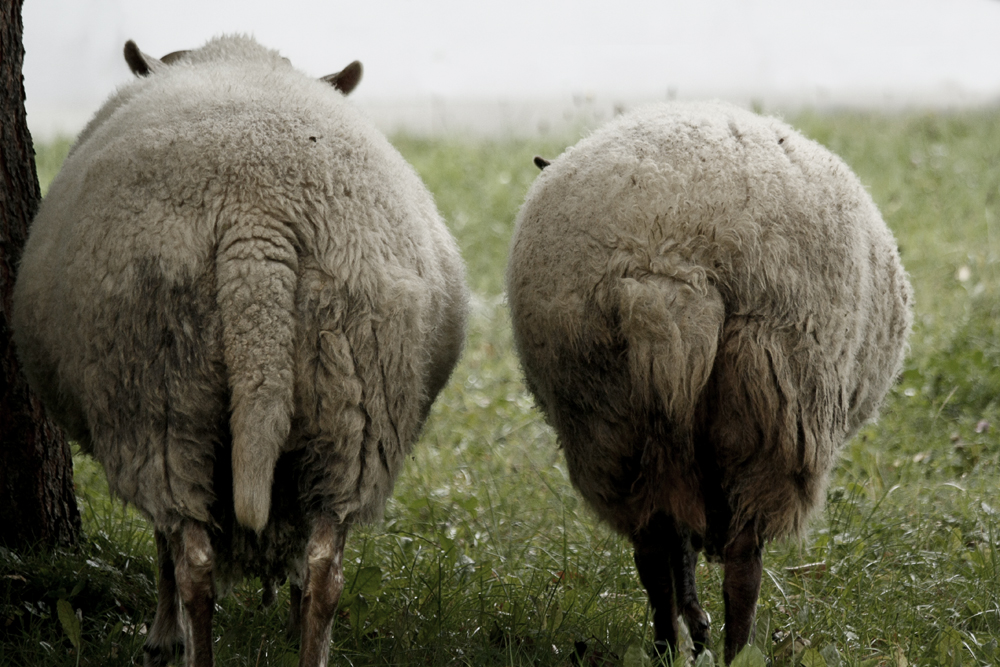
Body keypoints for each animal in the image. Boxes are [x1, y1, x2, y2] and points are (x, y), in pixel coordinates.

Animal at [12, 35, 468, 667]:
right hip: (352, 407)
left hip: (159, 404)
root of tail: (257, 222)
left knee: (192, 560)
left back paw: (186, 643)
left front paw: (161, 636)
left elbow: (162, 547)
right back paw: (311, 647)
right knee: (325, 565)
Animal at [508, 102, 916, 664]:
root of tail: (667, 271)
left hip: (607, 418)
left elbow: (677, 543)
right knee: (744, 561)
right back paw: (733, 650)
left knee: (652, 546)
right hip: (776, 396)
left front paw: (693, 620)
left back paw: (669, 645)